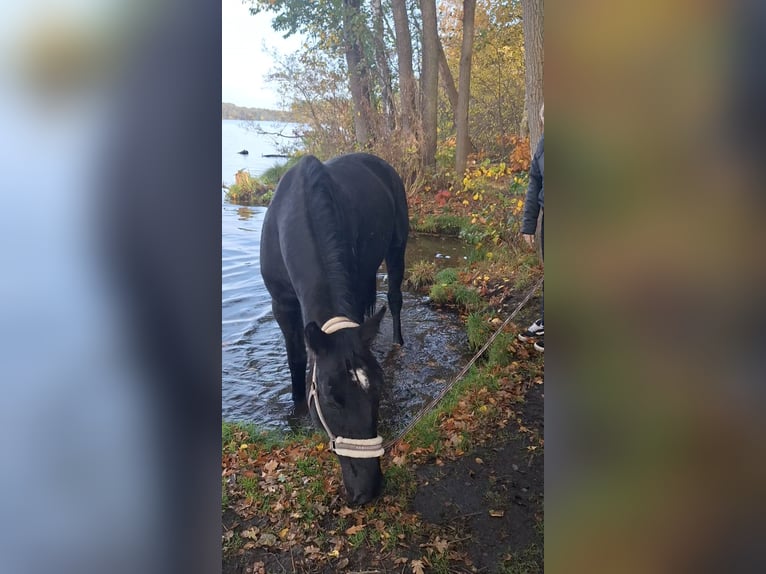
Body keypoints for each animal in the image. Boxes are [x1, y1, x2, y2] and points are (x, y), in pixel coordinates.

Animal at [259, 153, 409, 505]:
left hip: (396, 247)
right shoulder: (281, 305)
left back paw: (398, 342)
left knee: (395, 297)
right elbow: (297, 360)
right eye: (329, 396)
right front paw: (298, 411)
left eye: (379, 388)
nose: (368, 490)